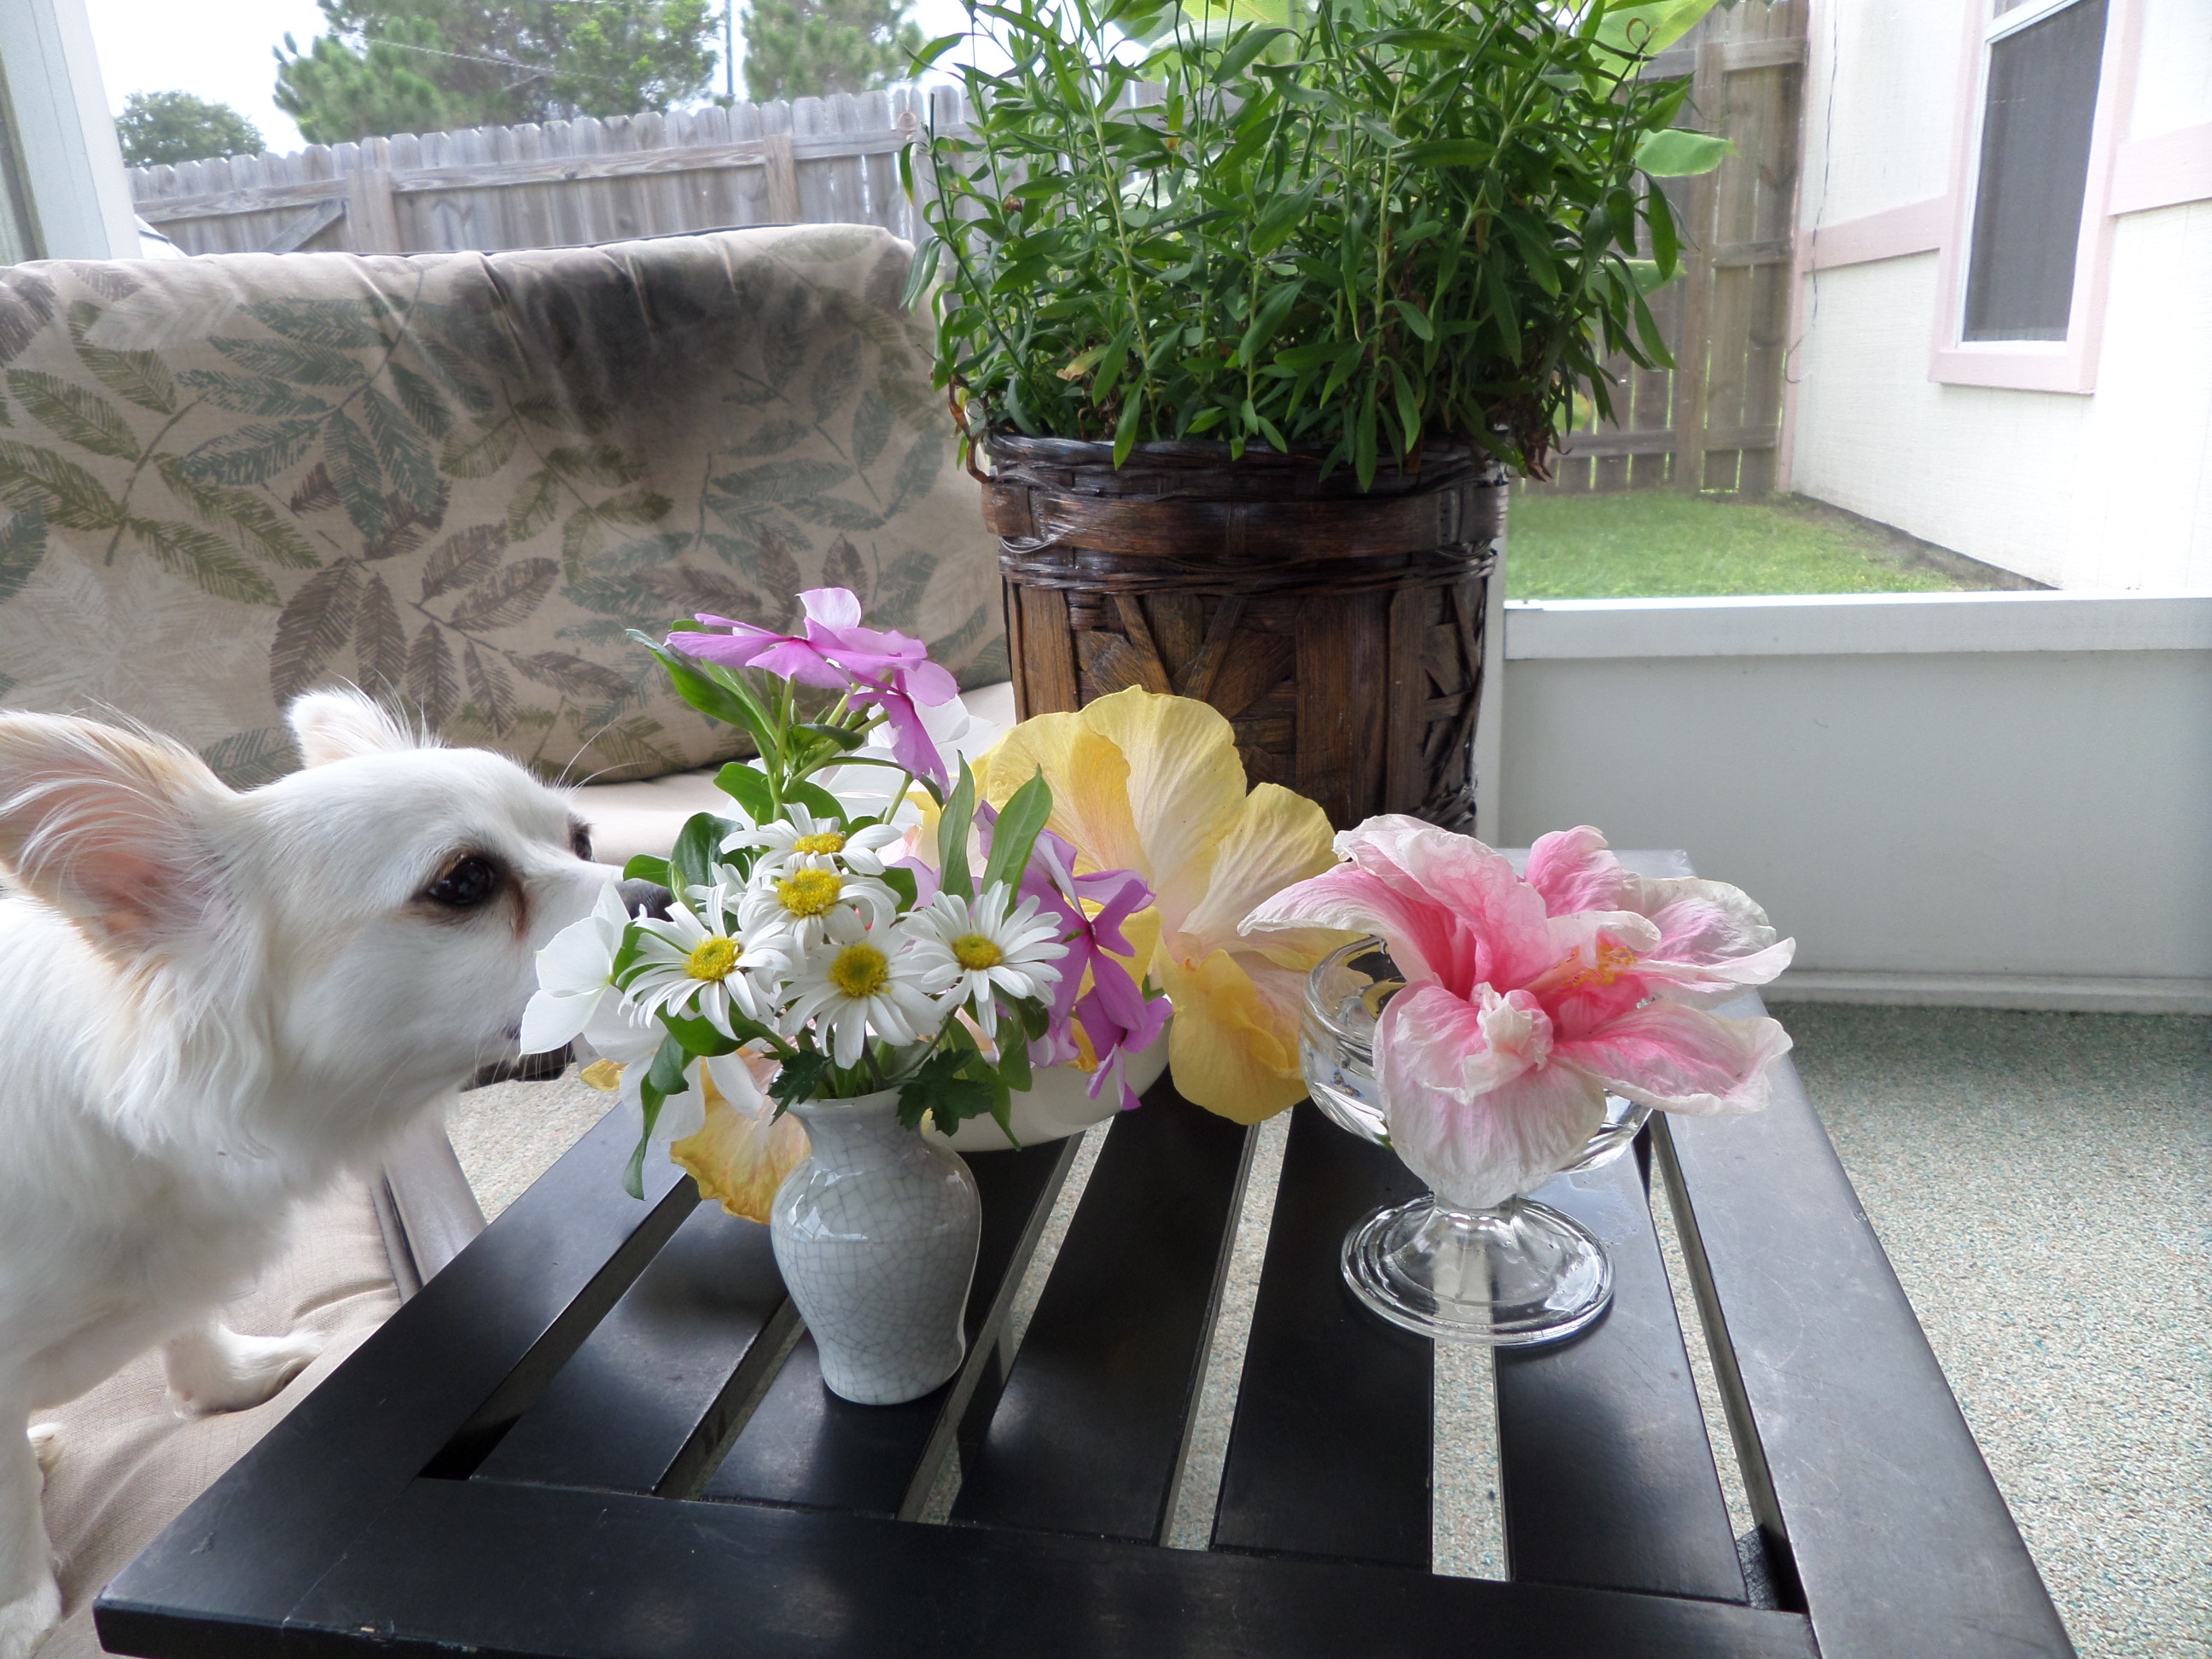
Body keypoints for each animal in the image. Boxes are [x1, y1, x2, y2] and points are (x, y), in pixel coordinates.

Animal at [0, 691, 608, 1657]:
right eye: (464, 883)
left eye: (581, 841)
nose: (668, 889)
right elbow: (9, 1497)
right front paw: (21, 1606)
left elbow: (188, 1319)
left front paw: (226, 1381)